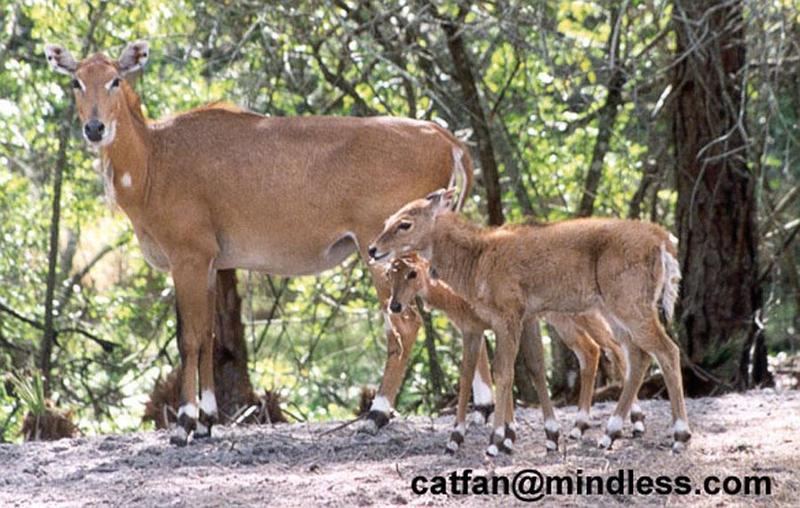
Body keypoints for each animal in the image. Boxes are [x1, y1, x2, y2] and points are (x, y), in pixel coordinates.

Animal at [47, 42, 472, 444]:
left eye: (115, 80)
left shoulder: (188, 257)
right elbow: (209, 337)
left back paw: (377, 415)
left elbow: (189, 339)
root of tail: (445, 138)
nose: (95, 128)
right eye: (76, 81)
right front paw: (207, 422)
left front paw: (184, 424)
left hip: (384, 250)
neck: (155, 158)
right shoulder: (210, 265)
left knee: (405, 324)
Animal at [368, 189, 688, 454]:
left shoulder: (505, 316)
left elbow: (503, 372)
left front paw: (496, 440)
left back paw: (679, 436)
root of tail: (662, 239)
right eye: (387, 220)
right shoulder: (528, 316)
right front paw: (546, 435)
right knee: (636, 355)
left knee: (666, 350)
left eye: (405, 223)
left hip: (628, 306)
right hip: (614, 312)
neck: (476, 260)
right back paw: (609, 433)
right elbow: (532, 368)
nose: (372, 249)